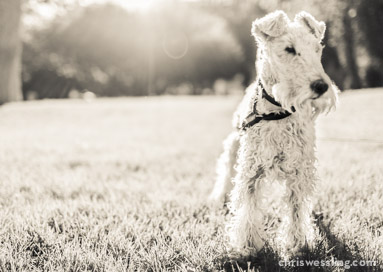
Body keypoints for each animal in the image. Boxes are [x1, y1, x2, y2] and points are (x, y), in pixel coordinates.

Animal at [210, 9, 340, 254]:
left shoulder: (299, 168)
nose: (321, 86)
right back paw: (219, 197)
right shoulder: (251, 168)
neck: (278, 112)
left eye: (316, 49)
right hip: (233, 145)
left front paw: (298, 243)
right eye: (289, 49)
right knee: (225, 172)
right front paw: (248, 245)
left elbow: (296, 209)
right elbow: (248, 207)